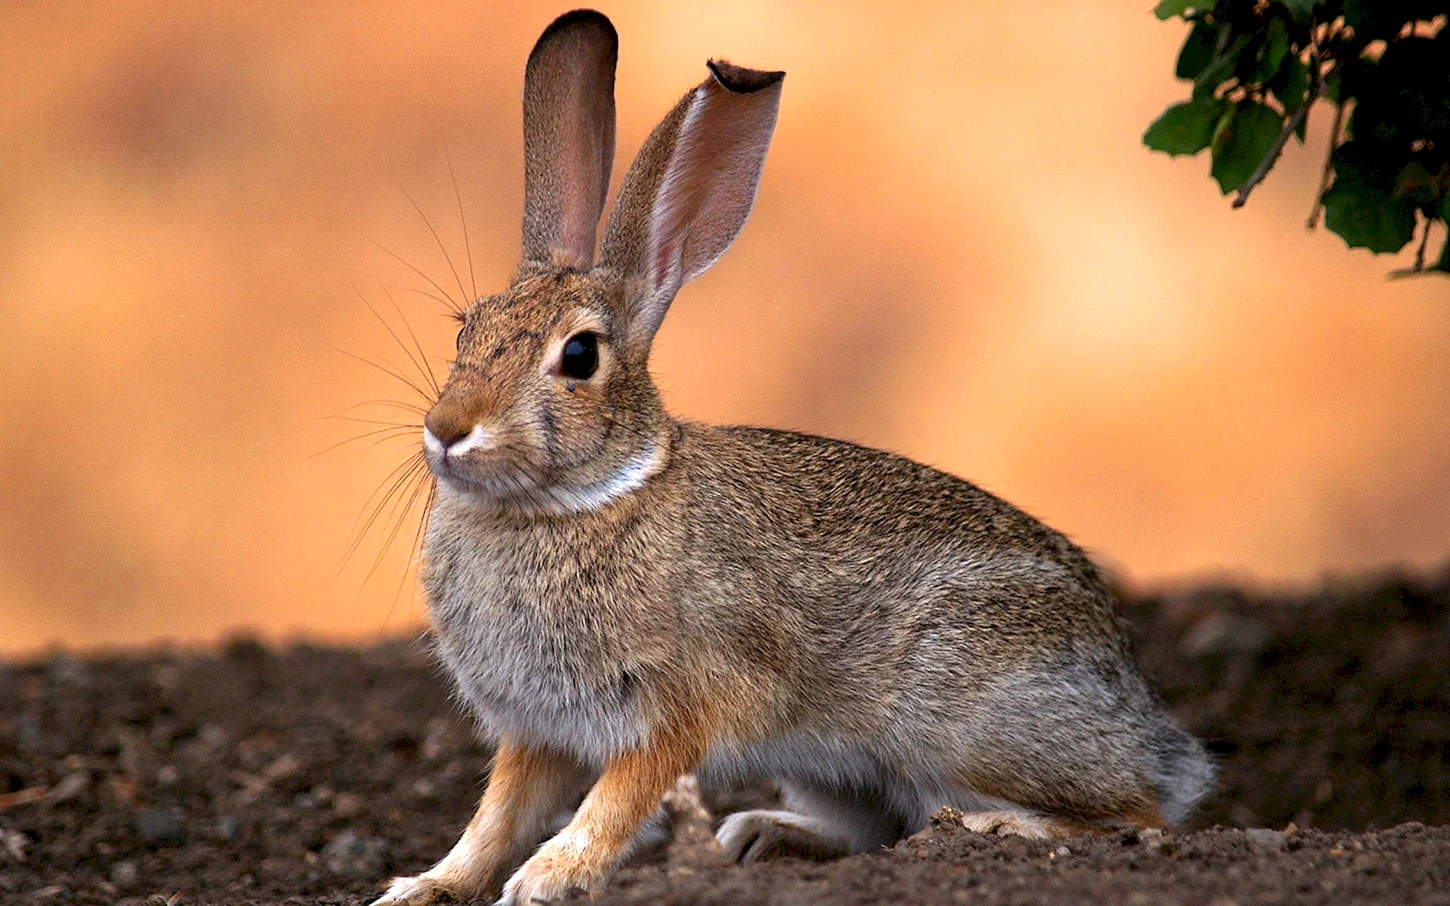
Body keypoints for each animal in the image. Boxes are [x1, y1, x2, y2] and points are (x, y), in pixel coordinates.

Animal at [372, 8, 1213, 906]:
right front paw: (424, 886)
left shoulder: (682, 705)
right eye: (466, 328)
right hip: (838, 765)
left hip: (964, 720)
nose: (447, 429)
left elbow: (614, 800)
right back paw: (762, 833)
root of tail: (1142, 717)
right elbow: (495, 815)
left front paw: (550, 877)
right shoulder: (537, 730)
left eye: (578, 357)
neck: (581, 500)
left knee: (1139, 817)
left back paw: (1003, 827)